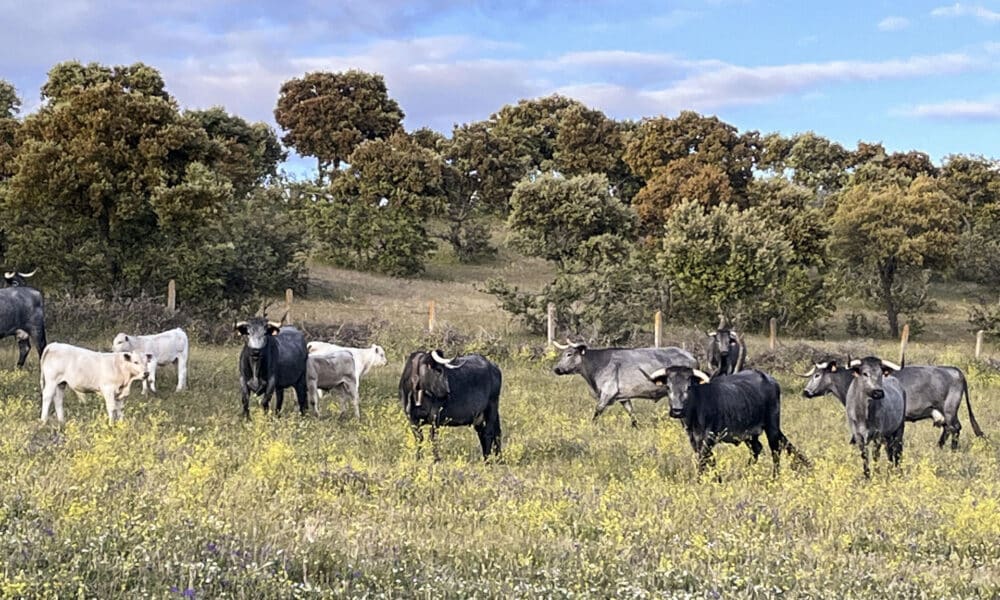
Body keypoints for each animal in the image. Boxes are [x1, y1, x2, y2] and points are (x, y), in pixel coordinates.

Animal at [552, 340, 700, 428]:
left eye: (569, 354)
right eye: (563, 354)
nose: (557, 369)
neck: (598, 364)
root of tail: (691, 356)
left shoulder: (608, 392)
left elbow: (597, 411)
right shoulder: (623, 397)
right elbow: (631, 413)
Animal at [640, 364, 812, 476]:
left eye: (688, 387)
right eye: (668, 387)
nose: (677, 410)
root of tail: (769, 379)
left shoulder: (709, 437)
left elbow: (703, 460)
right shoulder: (694, 438)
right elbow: (707, 459)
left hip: (772, 426)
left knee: (775, 450)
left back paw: (775, 477)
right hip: (749, 433)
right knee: (757, 448)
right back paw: (746, 473)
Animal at [800, 356, 980, 450]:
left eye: (817, 375)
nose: (806, 392)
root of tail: (954, 370)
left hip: (950, 410)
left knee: (955, 428)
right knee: (948, 429)